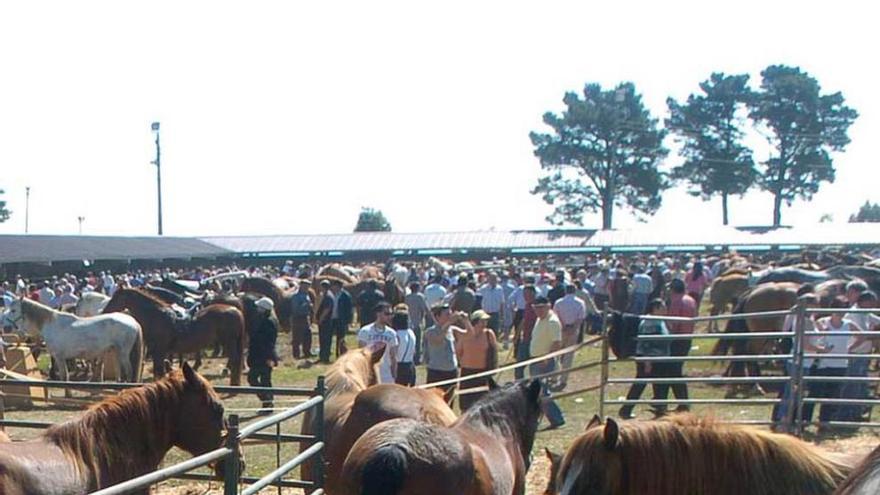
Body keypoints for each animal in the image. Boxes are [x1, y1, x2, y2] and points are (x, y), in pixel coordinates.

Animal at [5, 296, 144, 394]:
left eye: (13, 310)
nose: (6, 327)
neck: (51, 323)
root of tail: (133, 321)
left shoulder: (59, 357)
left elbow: (64, 377)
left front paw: (68, 395)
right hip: (117, 352)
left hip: (123, 353)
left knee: (129, 371)